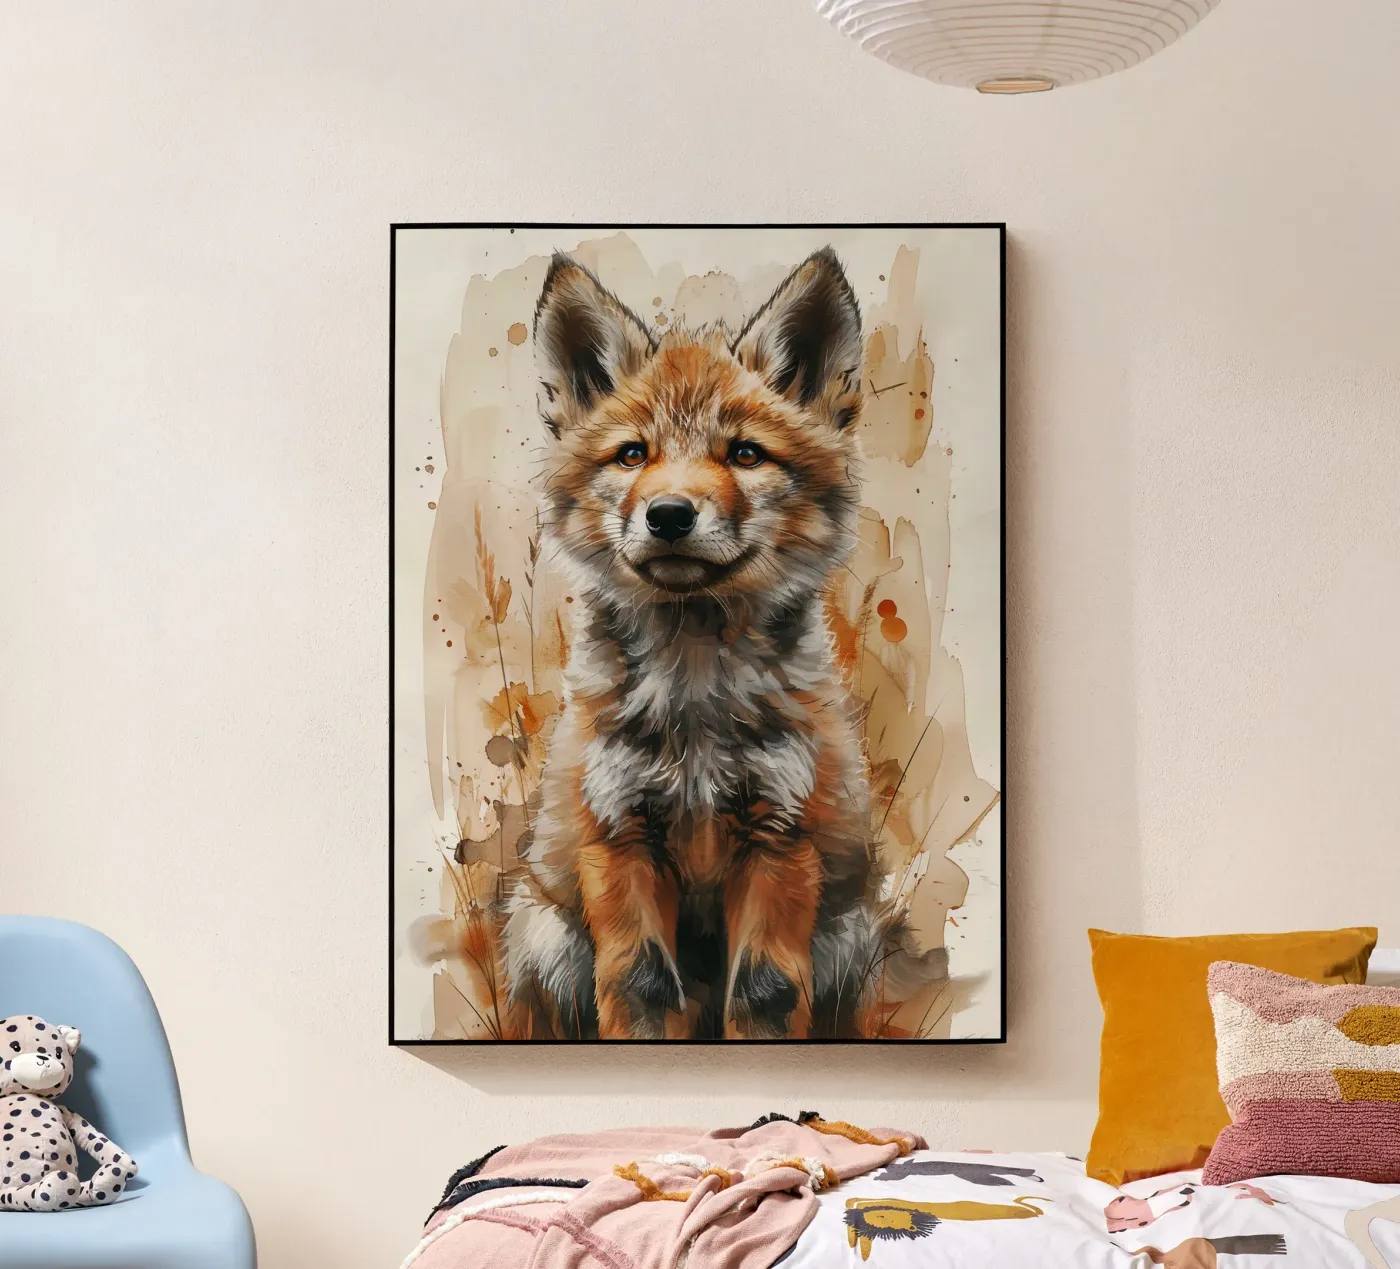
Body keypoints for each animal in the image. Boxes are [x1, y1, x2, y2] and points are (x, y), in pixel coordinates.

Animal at [501, 246, 888, 1041]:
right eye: (631, 455)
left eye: (745, 454)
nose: (670, 514)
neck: (696, 690)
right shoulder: (619, 836)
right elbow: (640, 988)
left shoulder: (779, 836)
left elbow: (765, 994)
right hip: (547, 936)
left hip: (850, 937)